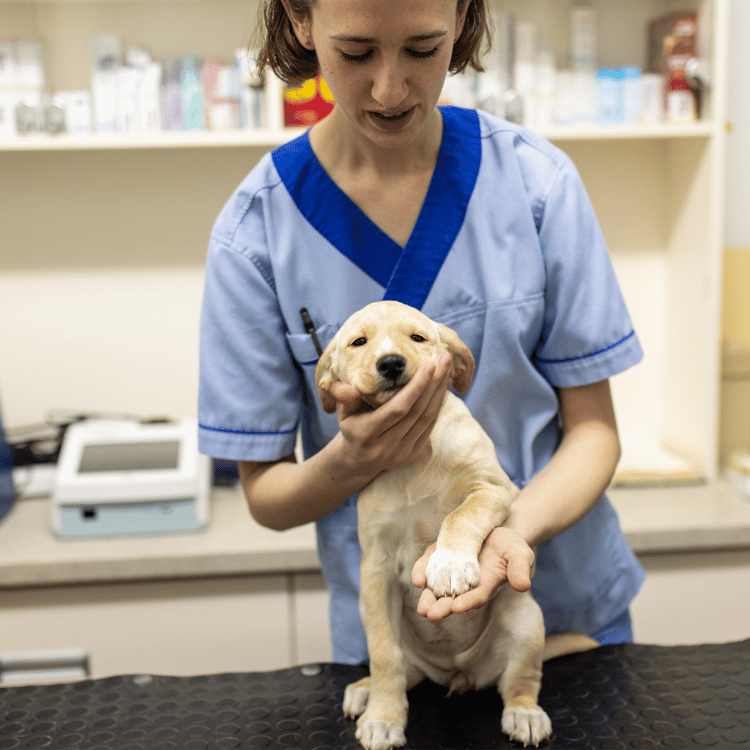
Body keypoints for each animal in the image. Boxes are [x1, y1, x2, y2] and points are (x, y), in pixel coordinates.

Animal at [316, 301, 596, 750]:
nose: (391, 363)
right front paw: (383, 717)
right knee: (400, 670)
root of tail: (457, 673)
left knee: (520, 681)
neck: (414, 459)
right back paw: (365, 691)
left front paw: (448, 563)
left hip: (525, 624)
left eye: (417, 338)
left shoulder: (494, 488)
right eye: (359, 342)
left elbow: (459, 514)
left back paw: (525, 714)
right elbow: (385, 659)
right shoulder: (375, 570)